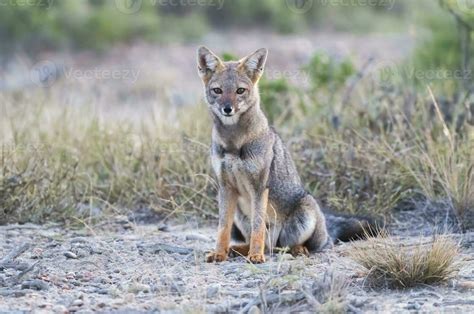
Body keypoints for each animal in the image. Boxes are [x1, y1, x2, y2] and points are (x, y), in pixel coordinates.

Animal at [196, 46, 378, 262]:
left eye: (240, 91)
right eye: (218, 91)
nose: (227, 109)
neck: (233, 142)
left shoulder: (259, 187)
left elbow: (258, 227)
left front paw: (255, 256)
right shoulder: (225, 187)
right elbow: (222, 227)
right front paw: (219, 253)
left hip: (304, 213)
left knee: (295, 245)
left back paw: (297, 250)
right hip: (240, 216)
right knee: (267, 245)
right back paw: (237, 250)